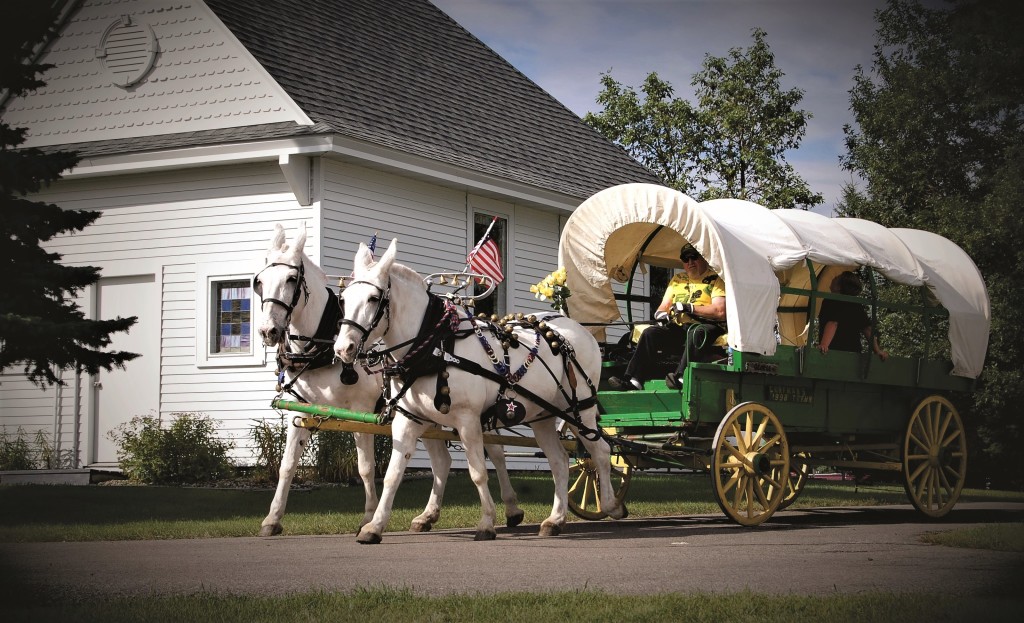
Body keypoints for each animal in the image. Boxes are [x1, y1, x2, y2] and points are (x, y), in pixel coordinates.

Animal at [254, 224, 524, 537]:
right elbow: (287, 466)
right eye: (259, 282)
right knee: (443, 462)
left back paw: (512, 508)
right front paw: (272, 518)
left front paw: (368, 516)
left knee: (496, 452)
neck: (323, 346)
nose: (268, 331)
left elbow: (366, 467)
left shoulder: (360, 411)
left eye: (291, 279)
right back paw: (428, 515)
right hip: (428, 415)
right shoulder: (301, 411)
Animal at [333, 238, 626, 544]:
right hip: (543, 416)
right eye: (343, 299)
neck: (435, 345)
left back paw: (610, 504)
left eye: (373, 299)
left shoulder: (468, 419)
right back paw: (555, 520)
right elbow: (393, 474)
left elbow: (477, 472)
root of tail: (580, 330)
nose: (343, 349)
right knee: (559, 461)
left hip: (580, 408)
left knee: (600, 451)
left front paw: (486, 522)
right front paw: (374, 526)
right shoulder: (409, 419)